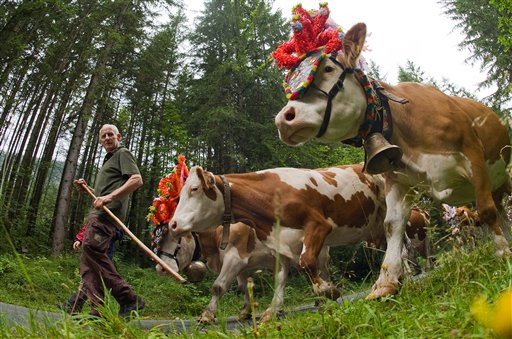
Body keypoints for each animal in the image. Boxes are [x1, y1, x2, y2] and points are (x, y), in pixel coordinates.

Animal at [274, 21, 510, 300]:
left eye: (328, 69)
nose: (283, 119)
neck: (404, 124)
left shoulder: (473, 155)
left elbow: (485, 210)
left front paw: (502, 252)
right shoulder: (396, 180)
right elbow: (393, 225)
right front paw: (384, 283)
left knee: (498, 206)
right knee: (502, 209)